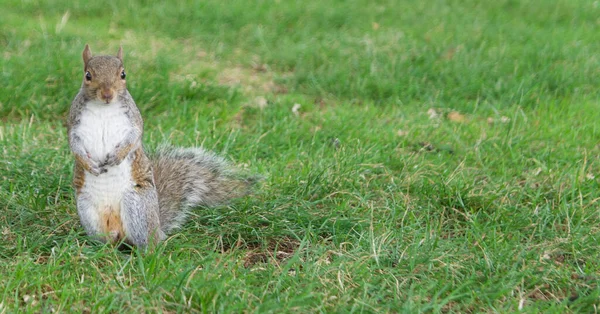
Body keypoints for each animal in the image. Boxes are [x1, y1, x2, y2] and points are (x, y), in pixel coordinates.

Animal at [67, 45, 253, 249]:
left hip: (137, 206)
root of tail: (158, 229)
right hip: (88, 211)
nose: (107, 94)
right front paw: (89, 165)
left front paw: (117, 156)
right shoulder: (73, 126)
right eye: (88, 75)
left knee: (147, 243)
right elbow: (74, 146)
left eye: (123, 74)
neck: (104, 108)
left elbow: (133, 138)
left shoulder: (134, 122)